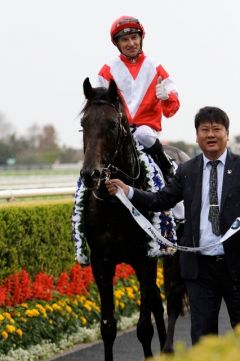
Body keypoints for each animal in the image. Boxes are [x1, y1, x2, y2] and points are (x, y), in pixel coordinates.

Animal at [73, 78, 188, 360]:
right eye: (84, 124)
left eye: (113, 125)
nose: (90, 174)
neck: (116, 207)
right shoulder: (101, 262)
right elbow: (108, 327)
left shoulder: (145, 258)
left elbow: (143, 327)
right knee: (157, 300)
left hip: (175, 251)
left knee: (172, 294)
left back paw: (168, 348)